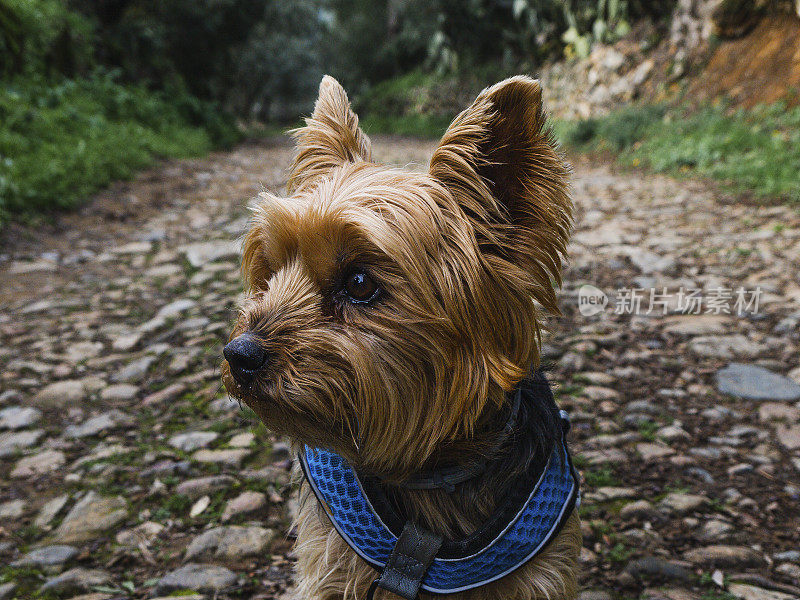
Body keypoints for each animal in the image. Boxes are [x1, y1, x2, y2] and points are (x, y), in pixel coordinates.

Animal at [222, 75, 580, 600]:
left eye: (359, 283)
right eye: (270, 270)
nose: (239, 354)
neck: (429, 475)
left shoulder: (539, 575)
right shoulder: (331, 568)